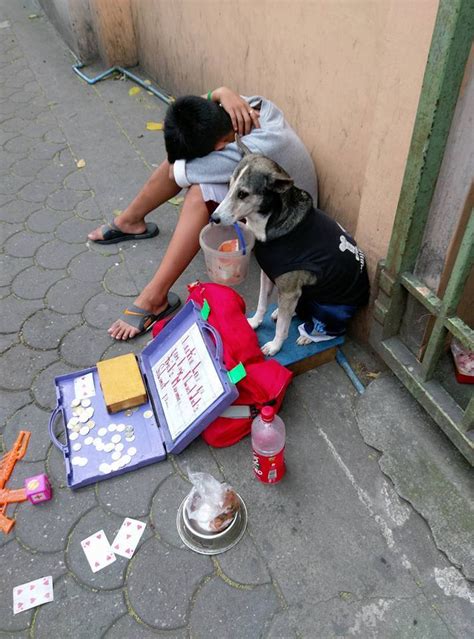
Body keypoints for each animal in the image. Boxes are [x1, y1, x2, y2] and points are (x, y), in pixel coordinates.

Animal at [211, 140, 370, 358]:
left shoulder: (289, 290)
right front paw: (254, 322)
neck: (270, 221)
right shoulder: (268, 274)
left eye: (243, 194)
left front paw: (275, 346)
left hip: (331, 309)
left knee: (334, 329)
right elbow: (262, 303)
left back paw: (310, 335)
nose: (214, 218)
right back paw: (282, 312)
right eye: (229, 185)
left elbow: (282, 329)